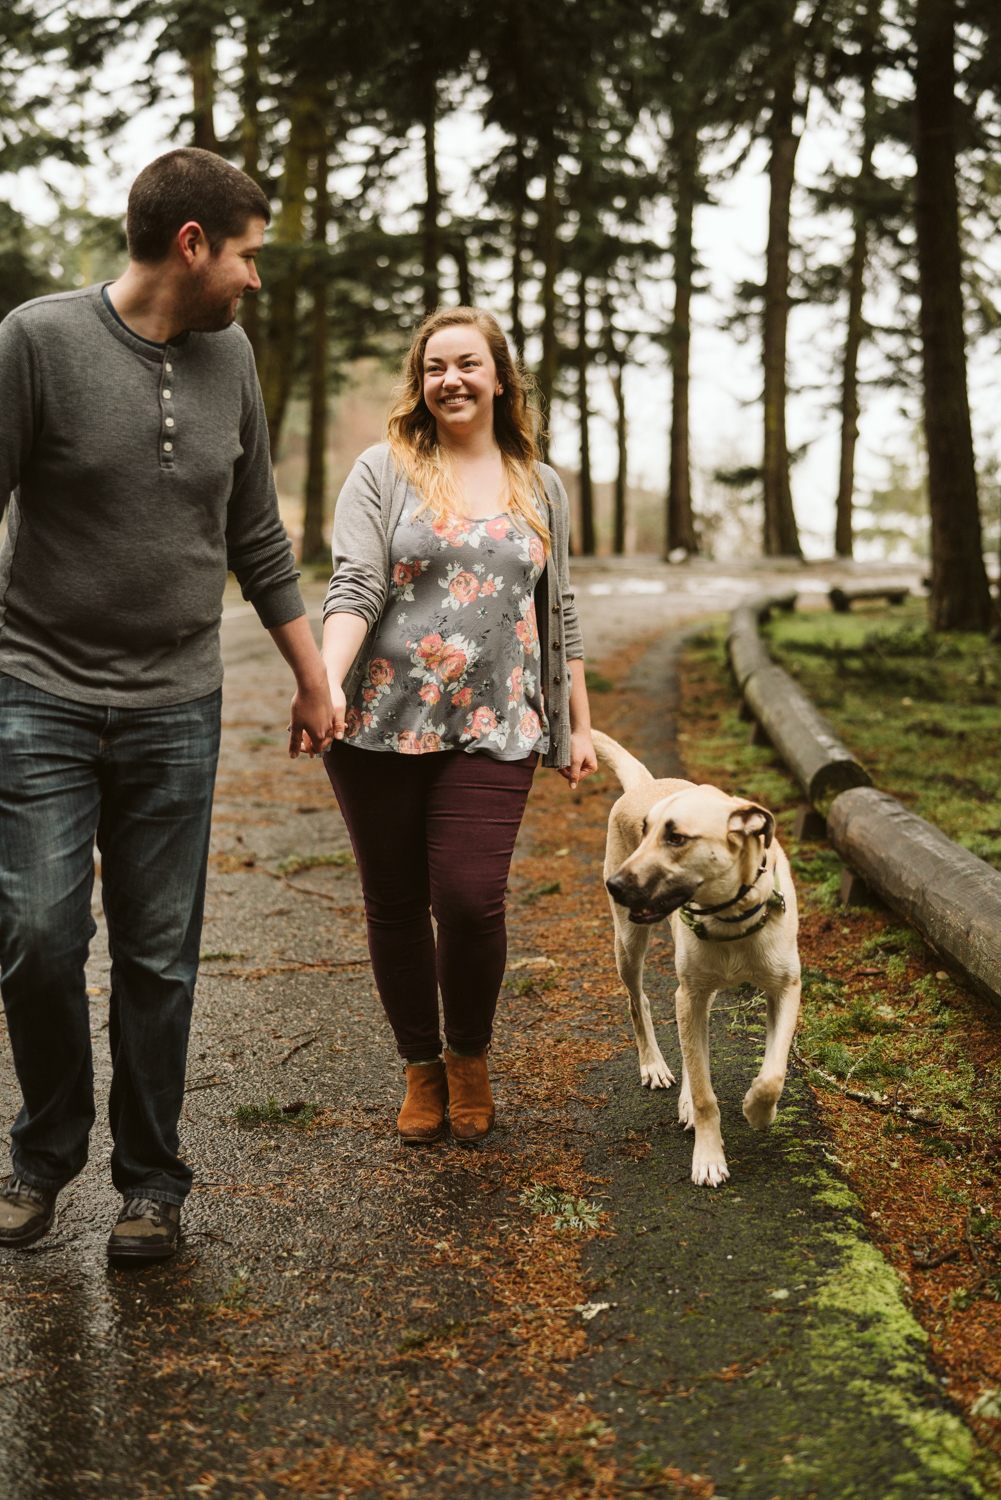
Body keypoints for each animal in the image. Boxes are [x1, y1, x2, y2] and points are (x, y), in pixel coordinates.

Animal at [591, 732, 804, 1188]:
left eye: (677, 838)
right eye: (645, 832)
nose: (614, 885)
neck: (731, 918)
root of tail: (645, 783)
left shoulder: (785, 990)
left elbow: (773, 1075)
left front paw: (759, 1111)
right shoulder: (690, 994)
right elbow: (707, 1094)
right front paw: (708, 1156)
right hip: (630, 946)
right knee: (640, 1003)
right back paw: (654, 1066)